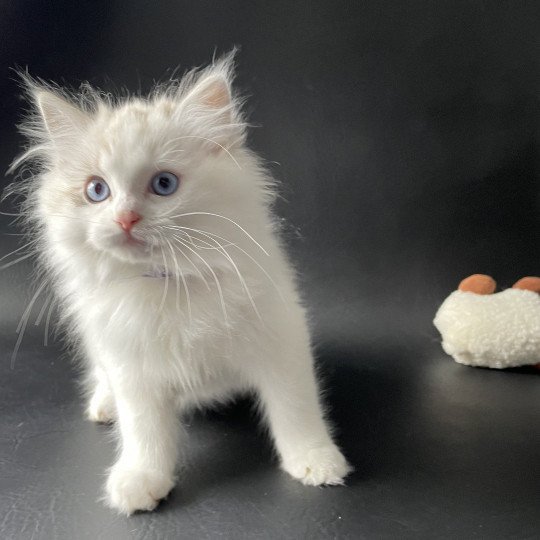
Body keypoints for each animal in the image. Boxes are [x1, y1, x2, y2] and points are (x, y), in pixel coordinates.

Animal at [11, 54, 354, 516]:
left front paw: (316, 461)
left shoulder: (281, 340)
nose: (125, 219)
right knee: (103, 379)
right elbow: (144, 431)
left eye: (164, 184)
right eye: (96, 191)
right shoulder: (132, 365)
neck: (168, 282)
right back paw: (103, 405)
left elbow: (295, 409)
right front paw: (140, 481)